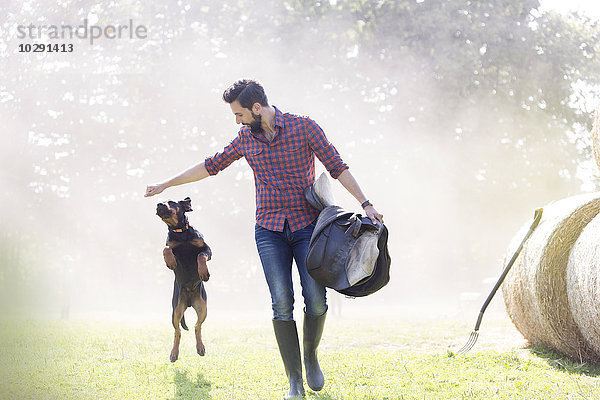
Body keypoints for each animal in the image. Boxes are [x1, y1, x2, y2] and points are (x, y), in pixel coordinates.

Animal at [156, 197, 212, 362]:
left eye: (171, 202)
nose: (158, 204)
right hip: (176, 310)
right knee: (178, 331)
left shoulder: (206, 249)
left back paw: (200, 347)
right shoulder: (172, 247)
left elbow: (201, 256)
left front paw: (203, 272)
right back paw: (174, 353)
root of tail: (188, 303)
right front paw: (170, 262)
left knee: (197, 326)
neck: (180, 232)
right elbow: (166, 249)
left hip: (202, 307)